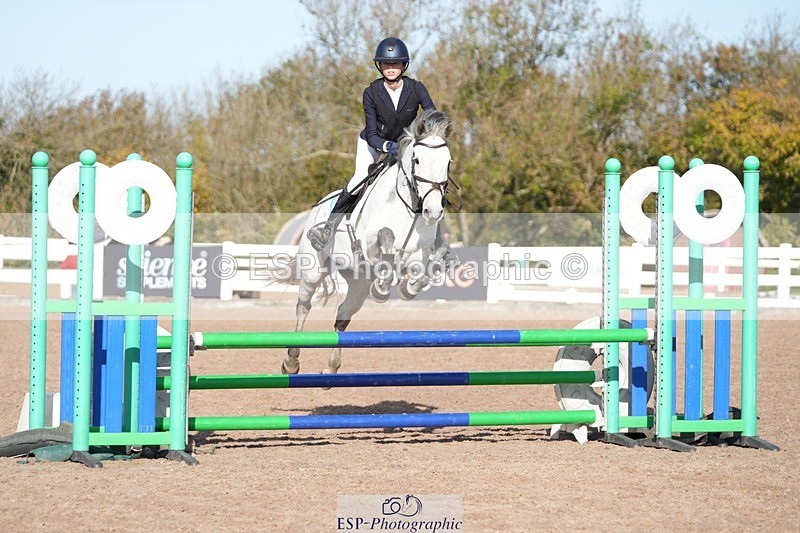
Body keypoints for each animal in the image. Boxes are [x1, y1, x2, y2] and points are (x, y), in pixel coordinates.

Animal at [282, 109, 455, 375]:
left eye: (448, 162)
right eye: (417, 160)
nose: (433, 211)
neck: (410, 207)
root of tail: (319, 205)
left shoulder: (418, 255)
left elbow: (428, 268)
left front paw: (408, 287)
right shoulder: (368, 244)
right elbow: (386, 238)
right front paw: (383, 287)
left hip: (359, 282)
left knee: (343, 315)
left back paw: (331, 367)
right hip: (313, 269)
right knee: (303, 305)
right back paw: (291, 360)